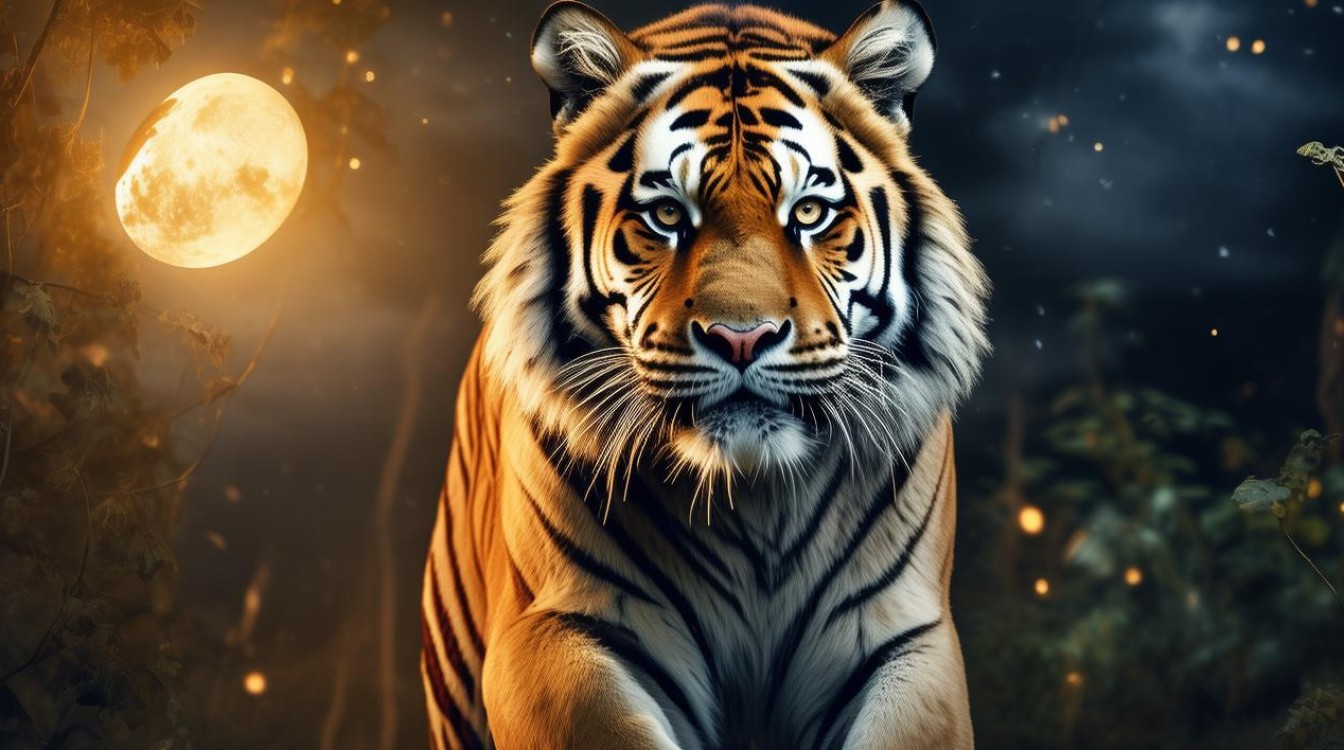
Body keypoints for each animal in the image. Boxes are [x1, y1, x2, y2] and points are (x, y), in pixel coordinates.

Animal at [421, 1, 990, 749]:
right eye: (667, 214)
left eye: (809, 212)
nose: (741, 338)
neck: (754, 500)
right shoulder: (556, 629)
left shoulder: (909, 638)